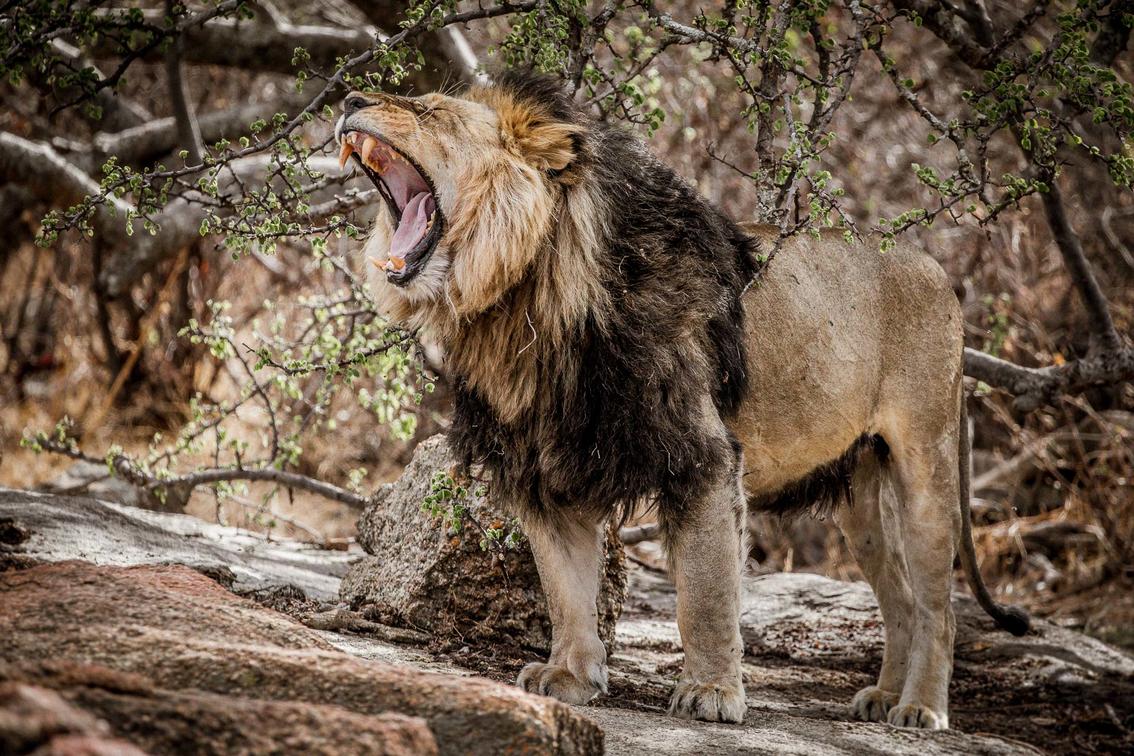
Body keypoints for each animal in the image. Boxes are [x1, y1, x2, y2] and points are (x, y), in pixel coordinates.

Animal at [336, 71, 1029, 731]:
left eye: (429, 110)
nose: (347, 100)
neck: (524, 303)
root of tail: (936, 270)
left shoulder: (702, 458)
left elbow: (705, 593)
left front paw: (712, 693)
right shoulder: (543, 470)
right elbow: (566, 591)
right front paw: (571, 676)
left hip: (925, 465)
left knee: (938, 606)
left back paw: (921, 709)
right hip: (860, 494)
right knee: (902, 600)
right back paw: (884, 696)